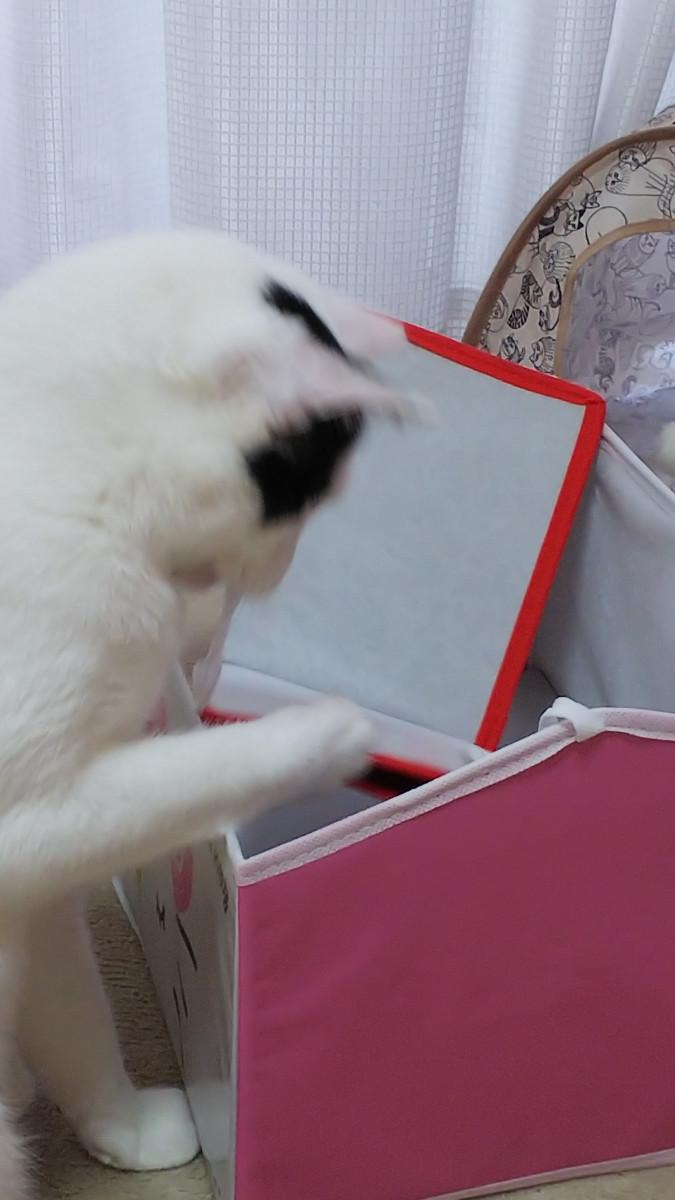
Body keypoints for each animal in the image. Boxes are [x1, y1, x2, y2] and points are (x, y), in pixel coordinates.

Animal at [0, 230, 421, 1197]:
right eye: (306, 495)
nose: (279, 574)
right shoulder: (28, 825)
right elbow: (179, 779)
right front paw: (326, 733)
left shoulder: (44, 896)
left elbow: (75, 1012)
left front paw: (121, 1128)